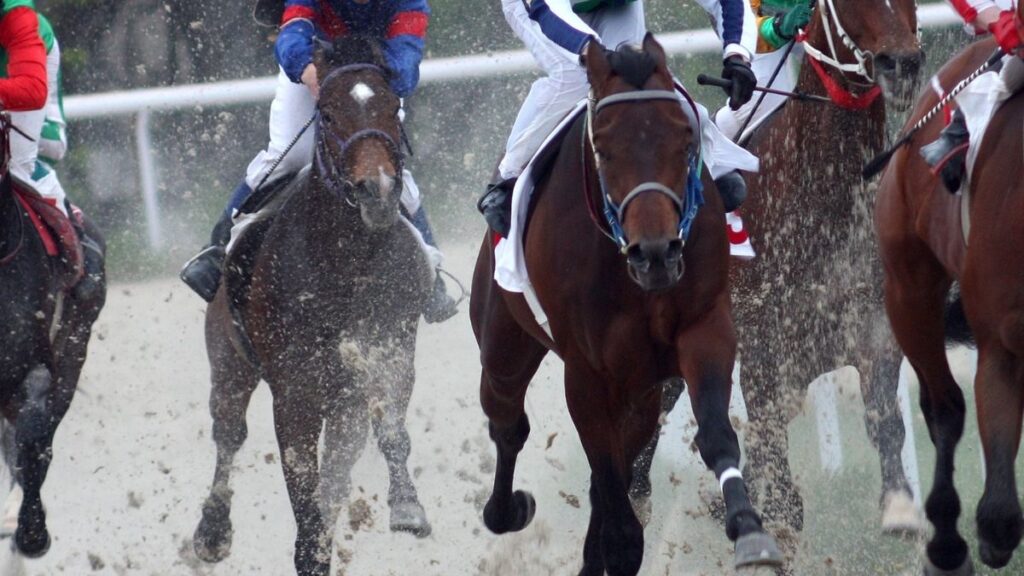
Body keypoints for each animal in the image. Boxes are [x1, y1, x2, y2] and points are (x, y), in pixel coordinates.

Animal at [191, 37, 434, 576]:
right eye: (326, 113)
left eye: (393, 107)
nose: (377, 191)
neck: (345, 262)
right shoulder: (295, 392)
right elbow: (300, 474)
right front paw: (309, 549)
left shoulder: (385, 356)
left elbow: (387, 433)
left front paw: (407, 506)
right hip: (227, 357)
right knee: (228, 433)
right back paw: (212, 531)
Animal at [471, 36, 783, 576]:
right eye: (604, 148)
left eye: (685, 140)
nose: (655, 252)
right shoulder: (587, 374)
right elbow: (611, 494)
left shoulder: (704, 328)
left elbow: (715, 435)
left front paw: (748, 528)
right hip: (502, 343)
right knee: (508, 422)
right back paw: (505, 509)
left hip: (639, 392)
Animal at [634, 0, 925, 538]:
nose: (903, 65)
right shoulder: (762, 343)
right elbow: (773, 463)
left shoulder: (870, 324)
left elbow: (882, 416)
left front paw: (899, 505)